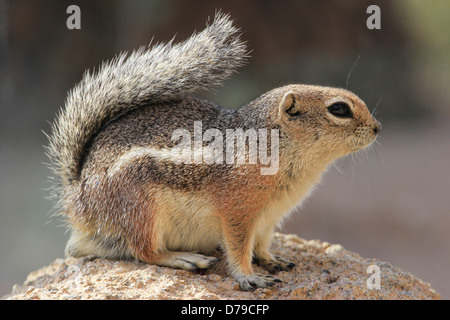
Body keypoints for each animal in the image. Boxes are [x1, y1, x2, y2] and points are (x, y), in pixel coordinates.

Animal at [46, 13, 380, 292]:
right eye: (339, 109)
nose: (377, 127)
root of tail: (76, 196)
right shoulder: (237, 210)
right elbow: (238, 247)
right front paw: (249, 276)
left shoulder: (269, 217)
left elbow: (261, 244)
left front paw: (272, 259)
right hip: (141, 206)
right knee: (143, 250)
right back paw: (184, 258)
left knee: (80, 249)